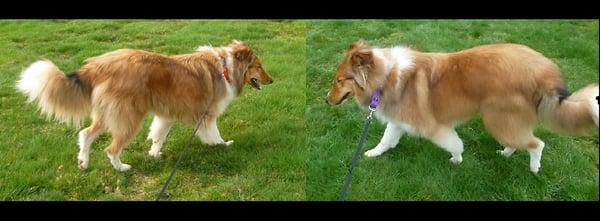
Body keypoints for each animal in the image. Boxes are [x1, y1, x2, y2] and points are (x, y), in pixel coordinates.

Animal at [15, 40, 274, 171]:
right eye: (259, 66)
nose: (272, 80)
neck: (225, 67)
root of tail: (98, 66)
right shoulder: (207, 114)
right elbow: (213, 132)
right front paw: (222, 145)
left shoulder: (166, 115)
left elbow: (158, 135)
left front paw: (154, 154)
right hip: (128, 117)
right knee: (110, 148)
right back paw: (121, 167)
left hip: (108, 114)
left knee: (85, 134)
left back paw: (83, 162)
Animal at [326, 40, 596, 174]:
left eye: (339, 81)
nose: (326, 100)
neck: (385, 76)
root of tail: (543, 71)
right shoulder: (399, 120)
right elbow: (386, 140)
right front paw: (373, 153)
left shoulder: (431, 126)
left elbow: (455, 143)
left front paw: (456, 160)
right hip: (503, 121)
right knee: (520, 141)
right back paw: (506, 153)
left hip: (497, 118)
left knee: (536, 143)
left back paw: (534, 167)